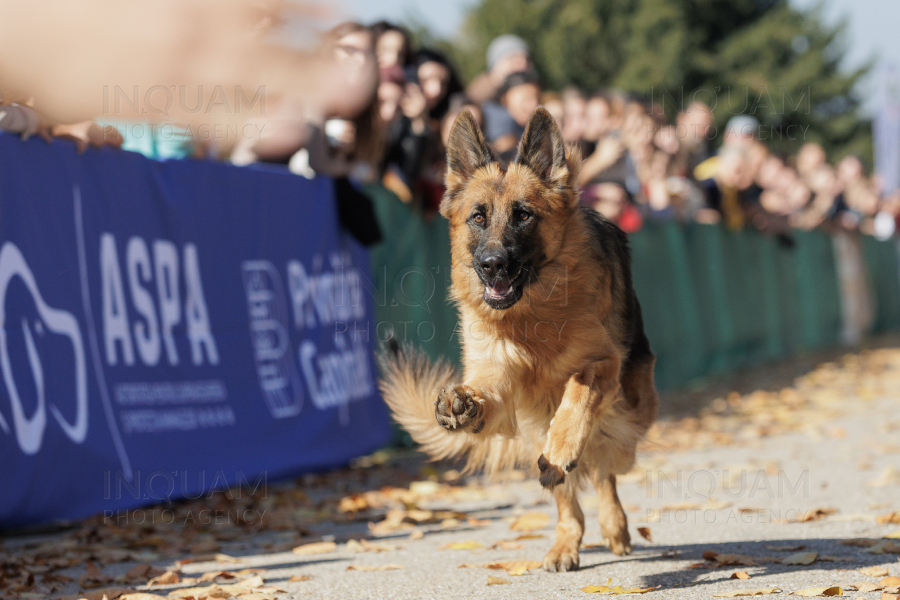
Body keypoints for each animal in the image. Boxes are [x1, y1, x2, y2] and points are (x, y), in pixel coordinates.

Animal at [376, 108, 656, 572]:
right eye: (478, 217)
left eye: (523, 215)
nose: (492, 265)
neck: (529, 320)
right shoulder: (499, 377)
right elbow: (484, 394)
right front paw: (462, 404)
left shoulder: (603, 364)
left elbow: (577, 399)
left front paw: (563, 446)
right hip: (533, 429)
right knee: (567, 494)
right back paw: (566, 542)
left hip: (632, 413)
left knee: (602, 465)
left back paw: (611, 522)